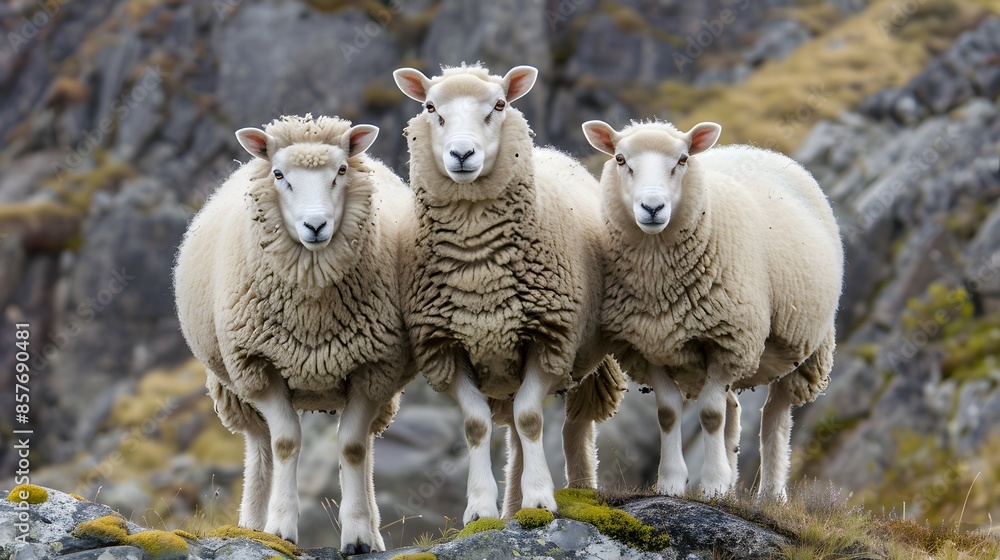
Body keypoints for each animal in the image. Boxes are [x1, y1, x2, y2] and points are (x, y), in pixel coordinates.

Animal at [173, 114, 415, 553]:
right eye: (279, 174)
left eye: (341, 170)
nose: (315, 225)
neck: (312, 311)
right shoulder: (258, 365)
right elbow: (284, 443)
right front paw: (280, 528)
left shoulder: (373, 369)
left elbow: (353, 447)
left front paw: (358, 534)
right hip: (236, 387)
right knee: (261, 445)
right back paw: (252, 525)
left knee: (367, 444)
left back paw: (374, 533)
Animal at [392, 64, 626, 523]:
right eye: (430, 107)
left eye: (499, 105)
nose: (462, 155)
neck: (478, 268)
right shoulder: (445, 347)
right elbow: (477, 426)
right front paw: (480, 509)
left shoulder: (550, 338)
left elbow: (532, 419)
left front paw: (541, 499)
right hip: (506, 370)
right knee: (515, 435)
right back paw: (512, 507)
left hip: (584, 356)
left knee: (572, 423)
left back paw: (580, 492)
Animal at [581, 119, 843, 500]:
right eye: (620, 159)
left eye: (682, 159)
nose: (652, 207)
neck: (658, 285)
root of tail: (758, 150)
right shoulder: (647, 345)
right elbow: (668, 413)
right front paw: (672, 483)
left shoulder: (727, 341)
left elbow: (709, 415)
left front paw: (714, 485)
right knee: (733, 410)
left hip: (804, 345)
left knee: (775, 414)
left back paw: (770, 494)